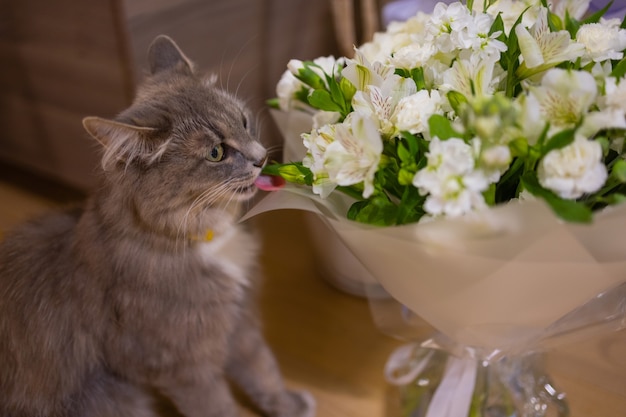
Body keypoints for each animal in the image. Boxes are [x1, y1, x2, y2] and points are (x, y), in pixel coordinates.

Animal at [0, 35, 314, 416]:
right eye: (215, 153)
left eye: (243, 120)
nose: (262, 158)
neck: (205, 240)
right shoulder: (182, 364)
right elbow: (220, 406)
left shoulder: (240, 322)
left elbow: (263, 370)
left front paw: (290, 405)